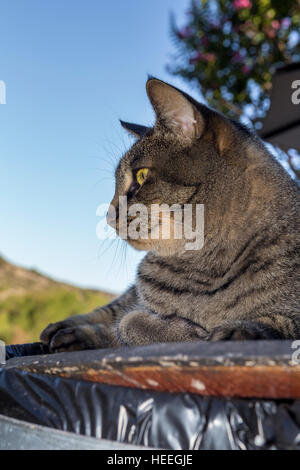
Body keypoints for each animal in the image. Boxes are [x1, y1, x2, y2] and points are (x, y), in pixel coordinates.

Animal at [40, 77, 300, 350]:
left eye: (141, 176)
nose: (109, 216)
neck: (204, 267)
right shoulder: (138, 304)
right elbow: (128, 321)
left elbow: (277, 323)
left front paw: (237, 330)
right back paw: (65, 329)